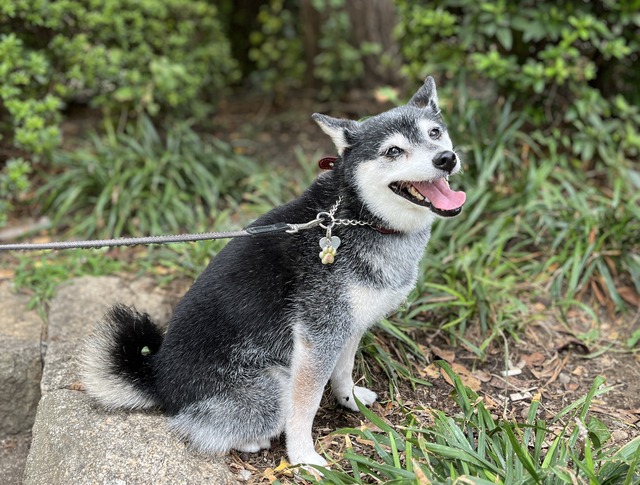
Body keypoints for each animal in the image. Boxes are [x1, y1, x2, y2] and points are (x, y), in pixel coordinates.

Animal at [82, 75, 468, 466]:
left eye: (435, 132)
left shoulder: (348, 326)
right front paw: (303, 456)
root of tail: (158, 378)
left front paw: (349, 400)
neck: (358, 216)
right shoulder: (317, 339)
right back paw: (252, 441)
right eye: (393, 151)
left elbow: (343, 370)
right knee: (200, 429)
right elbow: (305, 406)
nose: (445, 158)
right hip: (272, 383)